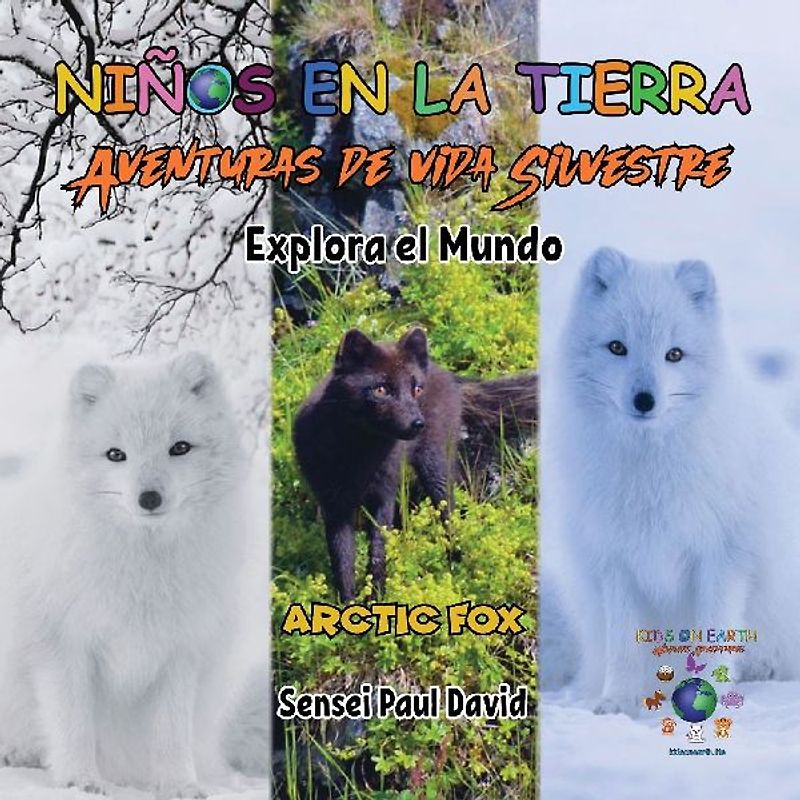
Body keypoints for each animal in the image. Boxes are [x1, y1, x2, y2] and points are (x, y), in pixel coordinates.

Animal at [0, 351, 258, 797]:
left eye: (179, 448)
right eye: (115, 454)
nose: (149, 498)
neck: (143, 568)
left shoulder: (180, 653)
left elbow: (171, 733)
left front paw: (178, 785)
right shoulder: (62, 645)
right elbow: (73, 723)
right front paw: (80, 780)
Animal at [293, 327, 537, 601]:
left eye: (416, 390)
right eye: (381, 390)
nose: (418, 423)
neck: (359, 457)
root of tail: (446, 373)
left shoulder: (384, 495)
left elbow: (378, 550)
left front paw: (378, 597)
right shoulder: (334, 503)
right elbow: (341, 560)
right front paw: (348, 604)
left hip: (435, 466)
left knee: (449, 512)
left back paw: (455, 563)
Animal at [545, 247, 800, 714]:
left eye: (675, 355)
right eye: (617, 347)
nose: (645, 399)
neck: (650, 471)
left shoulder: (721, 557)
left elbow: (713, 635)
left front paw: (709, 693)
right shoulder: (616, 561)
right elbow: (625, 646)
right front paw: (618, 702)